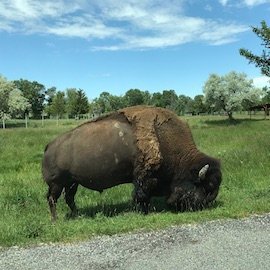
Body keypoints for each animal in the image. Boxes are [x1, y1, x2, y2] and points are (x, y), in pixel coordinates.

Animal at [42, 106, 221, 221]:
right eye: (207, 186)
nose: (203, 205)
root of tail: (49, 146)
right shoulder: (144, 178)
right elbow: (141, 194)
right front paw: (143, 211)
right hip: (57, 184)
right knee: (52, 199)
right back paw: (55, 220)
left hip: (72, 183)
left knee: (69, 198)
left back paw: (77, 214)